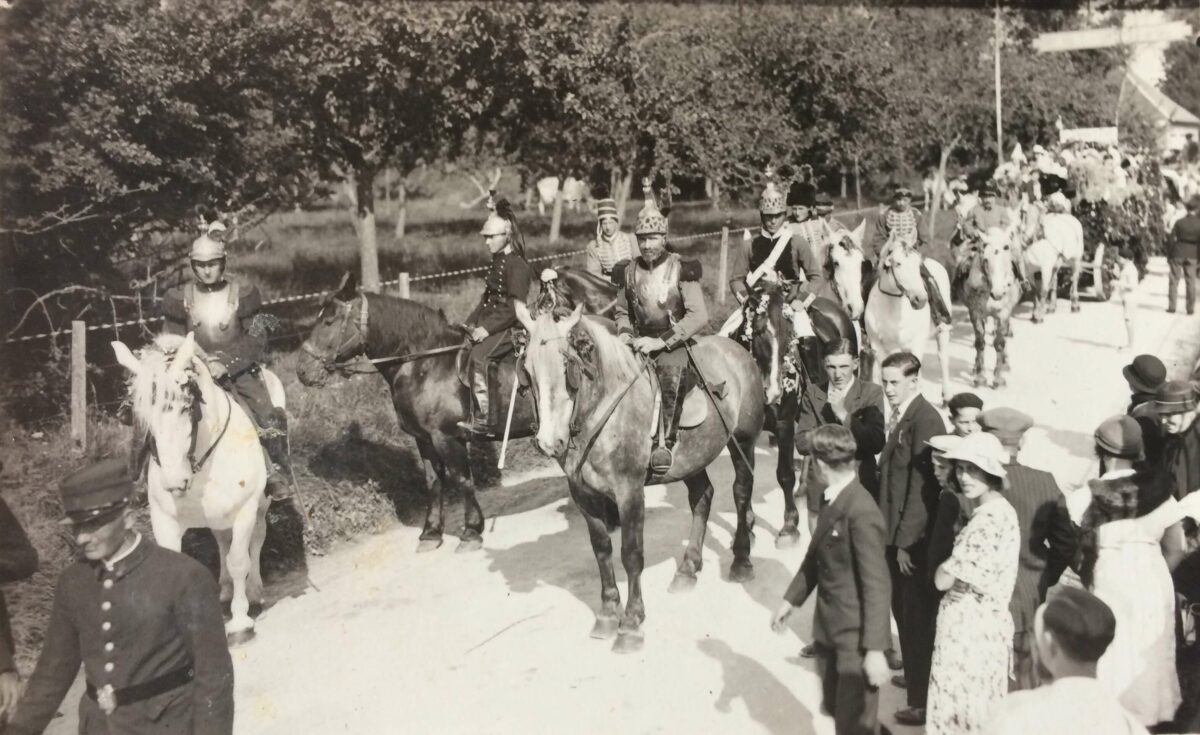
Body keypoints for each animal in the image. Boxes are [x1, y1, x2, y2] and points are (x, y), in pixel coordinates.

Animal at [112, 333, 285, 643]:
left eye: (186, 406)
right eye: (142, 415)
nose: (173, 482)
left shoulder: (244, 511)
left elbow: (239, 559)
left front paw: (240, 621)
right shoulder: (164, 520)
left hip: (260, 506)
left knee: (256, 538)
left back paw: (253, 591)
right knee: (222, 541)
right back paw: (226, 590)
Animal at [290, 272, 609, 554]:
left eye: (329, 320)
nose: (303, 371)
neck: (424, 364)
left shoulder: (446, 437)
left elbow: (462, 480)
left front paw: (471, 531)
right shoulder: (424, 440)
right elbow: (434, 483)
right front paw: (431, 533)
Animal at [513, 301, 758, 653]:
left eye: (567, 366)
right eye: (528, 371)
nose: (549, 442)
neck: (602, 411)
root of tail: (737, 349)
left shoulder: (629, 491)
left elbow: (631, 554)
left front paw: (631, 622)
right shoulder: (583, 494)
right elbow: (601, 549)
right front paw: (607, 612)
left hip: (745, 442)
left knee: (741, 491)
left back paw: (741, 560)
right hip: (691, 460)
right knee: (702, 497)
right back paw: (688, 568)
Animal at [868, 234, 950, 401]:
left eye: (918, 264)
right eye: (898, 263)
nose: (921, 299)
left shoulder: (916, 343)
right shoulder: (878, 346)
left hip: (942, 330)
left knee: (943, 357)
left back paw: (946, 396)